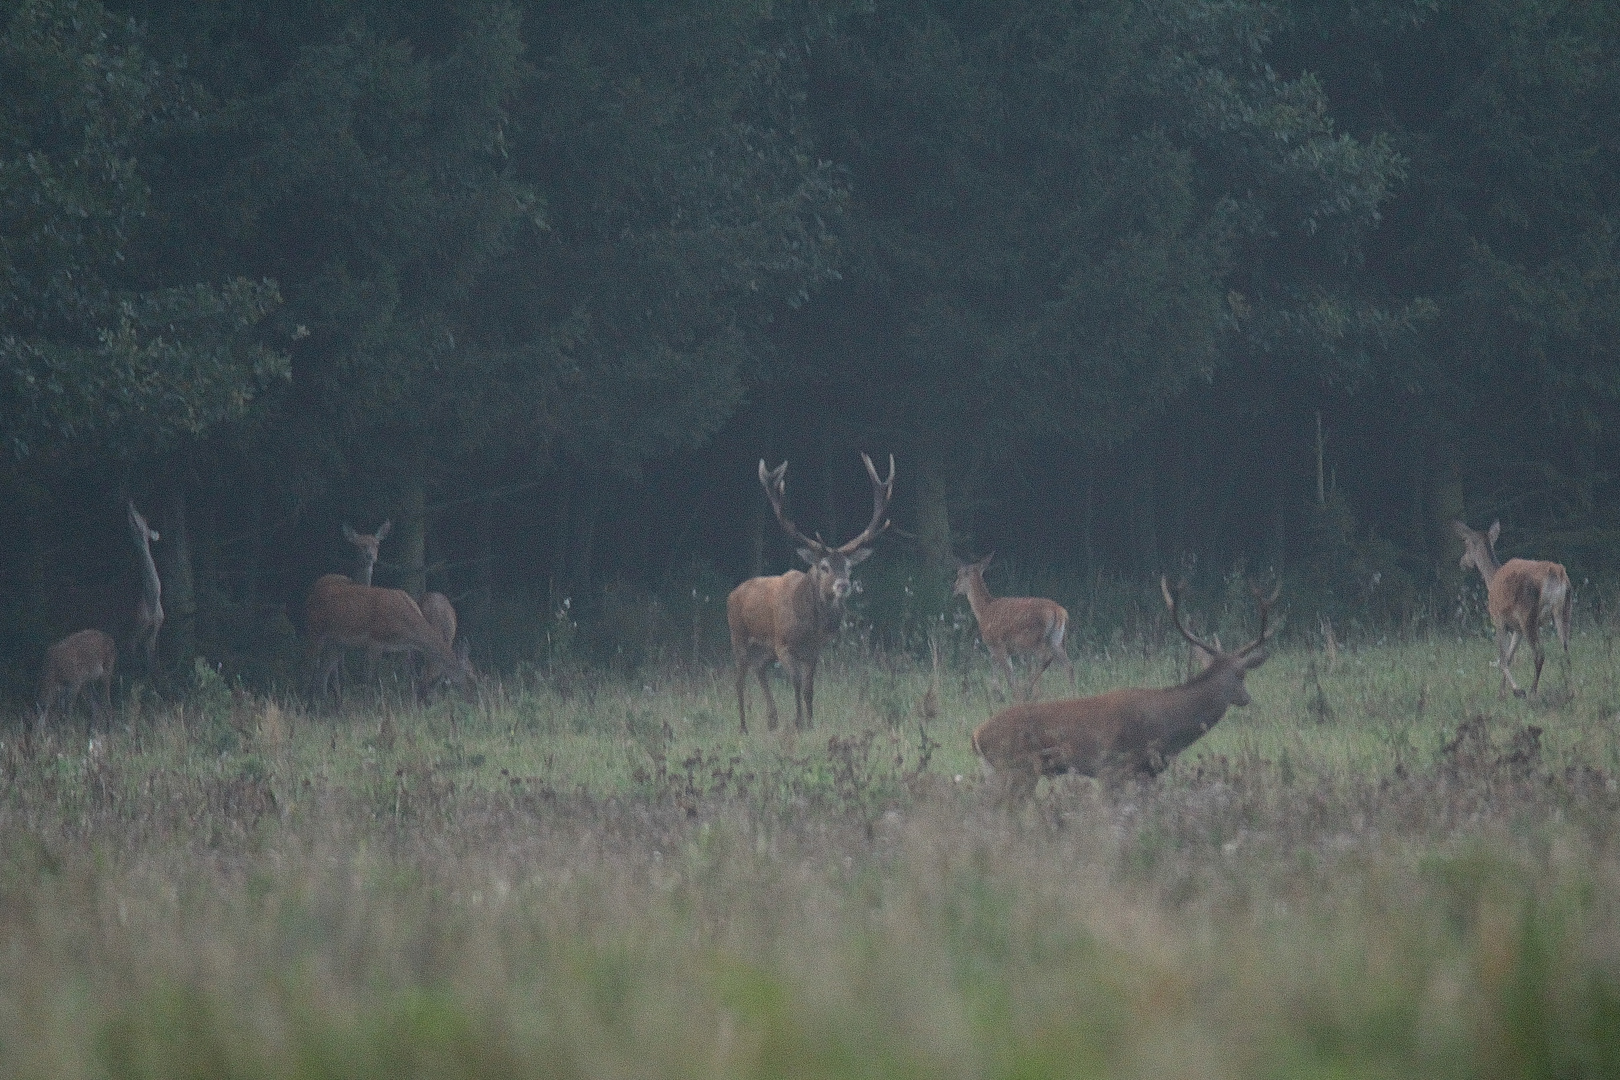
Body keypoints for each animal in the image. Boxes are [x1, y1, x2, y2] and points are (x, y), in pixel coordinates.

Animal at [304, 579, 473, 705]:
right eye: (470, 675)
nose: (473, 698)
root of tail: (311, 594)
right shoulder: (375, 640)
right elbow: (371, 678)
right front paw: (369, 705)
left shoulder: (403, 648)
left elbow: (408, 674)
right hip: (315, 630)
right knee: (311, 666)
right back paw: (310, 704)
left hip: (337, 643)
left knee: (324, 670)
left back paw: (328, 705)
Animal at [725, 453, 894, 738]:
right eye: (823, 566)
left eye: (849, 567)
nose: (843, 585)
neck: (810, 626)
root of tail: (732, 594)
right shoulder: (783, 644)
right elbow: (794, 683)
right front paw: (798, 723)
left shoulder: (814, 650)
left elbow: (809, 688)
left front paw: (810, 723)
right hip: (739, 636)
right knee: (738, 680)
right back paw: (744, 727)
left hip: (765, 648)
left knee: (759, 669)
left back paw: (772, 720)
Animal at [965, 579, 1283, 799]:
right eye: (1242, 674)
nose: (1246, 698)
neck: (1169, 728)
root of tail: (976, 735)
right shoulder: (1114, 768)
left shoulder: (1145, 773)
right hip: (1015, 769)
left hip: (999, 772)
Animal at [1458, 524, 1568, 702]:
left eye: (1466, 545)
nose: (1462, 562)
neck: (1491, 579)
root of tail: (1556, 573)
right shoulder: (1517, 629)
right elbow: (1509, 657)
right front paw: (1502, 693)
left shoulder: (1499, 619)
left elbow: (1502, 659)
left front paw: (1515, 691)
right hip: (1563, 609)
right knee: (1565, 648)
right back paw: (1569, 688)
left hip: (1528, 615)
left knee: (1539, 654)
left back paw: (1532, 692)